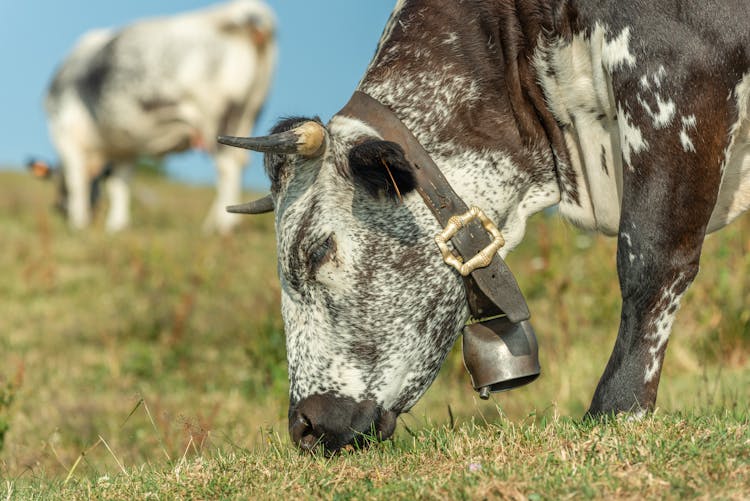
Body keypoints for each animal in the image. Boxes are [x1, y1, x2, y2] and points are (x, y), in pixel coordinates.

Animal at [41, 0, 276, 232]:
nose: (59, 209)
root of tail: (247, 11)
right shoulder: (125, 148)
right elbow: (120, 183)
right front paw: (117, 225)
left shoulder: (67, 134)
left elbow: (76, 181)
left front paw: (78, 223)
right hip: (248, 115)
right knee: (239, 162)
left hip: (218, 120)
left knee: (227, 167)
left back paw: (222, 226)